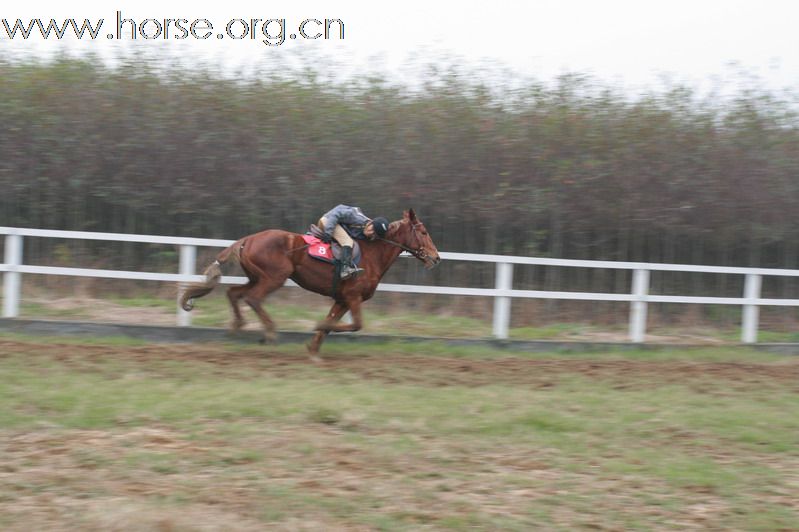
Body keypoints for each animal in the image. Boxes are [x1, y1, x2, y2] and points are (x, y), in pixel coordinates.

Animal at [181, 210, 440, 356]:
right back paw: (270, 333)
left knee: (234, 293)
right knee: (253, 298)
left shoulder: (342, 300)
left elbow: (332, 323)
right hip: (274, 277)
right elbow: (355, 325)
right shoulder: (353, 297)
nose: (436, 257)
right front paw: (317, 327)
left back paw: (238, 325)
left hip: (256, 276)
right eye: (424, 232)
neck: (372, 252)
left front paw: (313, 348)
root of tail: (247, 239)